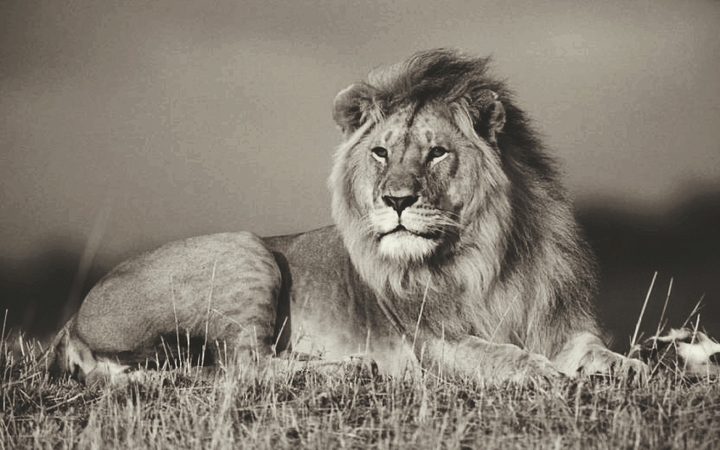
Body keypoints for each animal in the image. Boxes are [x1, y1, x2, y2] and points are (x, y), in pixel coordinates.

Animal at [50, 49, 647, 385]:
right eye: (381, 153)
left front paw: (628, 368)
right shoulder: (434, 343)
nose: (396, 200)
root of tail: (73, 321)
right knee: (241, 367)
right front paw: (542, 372)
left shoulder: (559, 321)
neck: (487, 259)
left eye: (437, 153)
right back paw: (349, 370)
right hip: (247, 250)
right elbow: (498, 354)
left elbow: (595, 348)